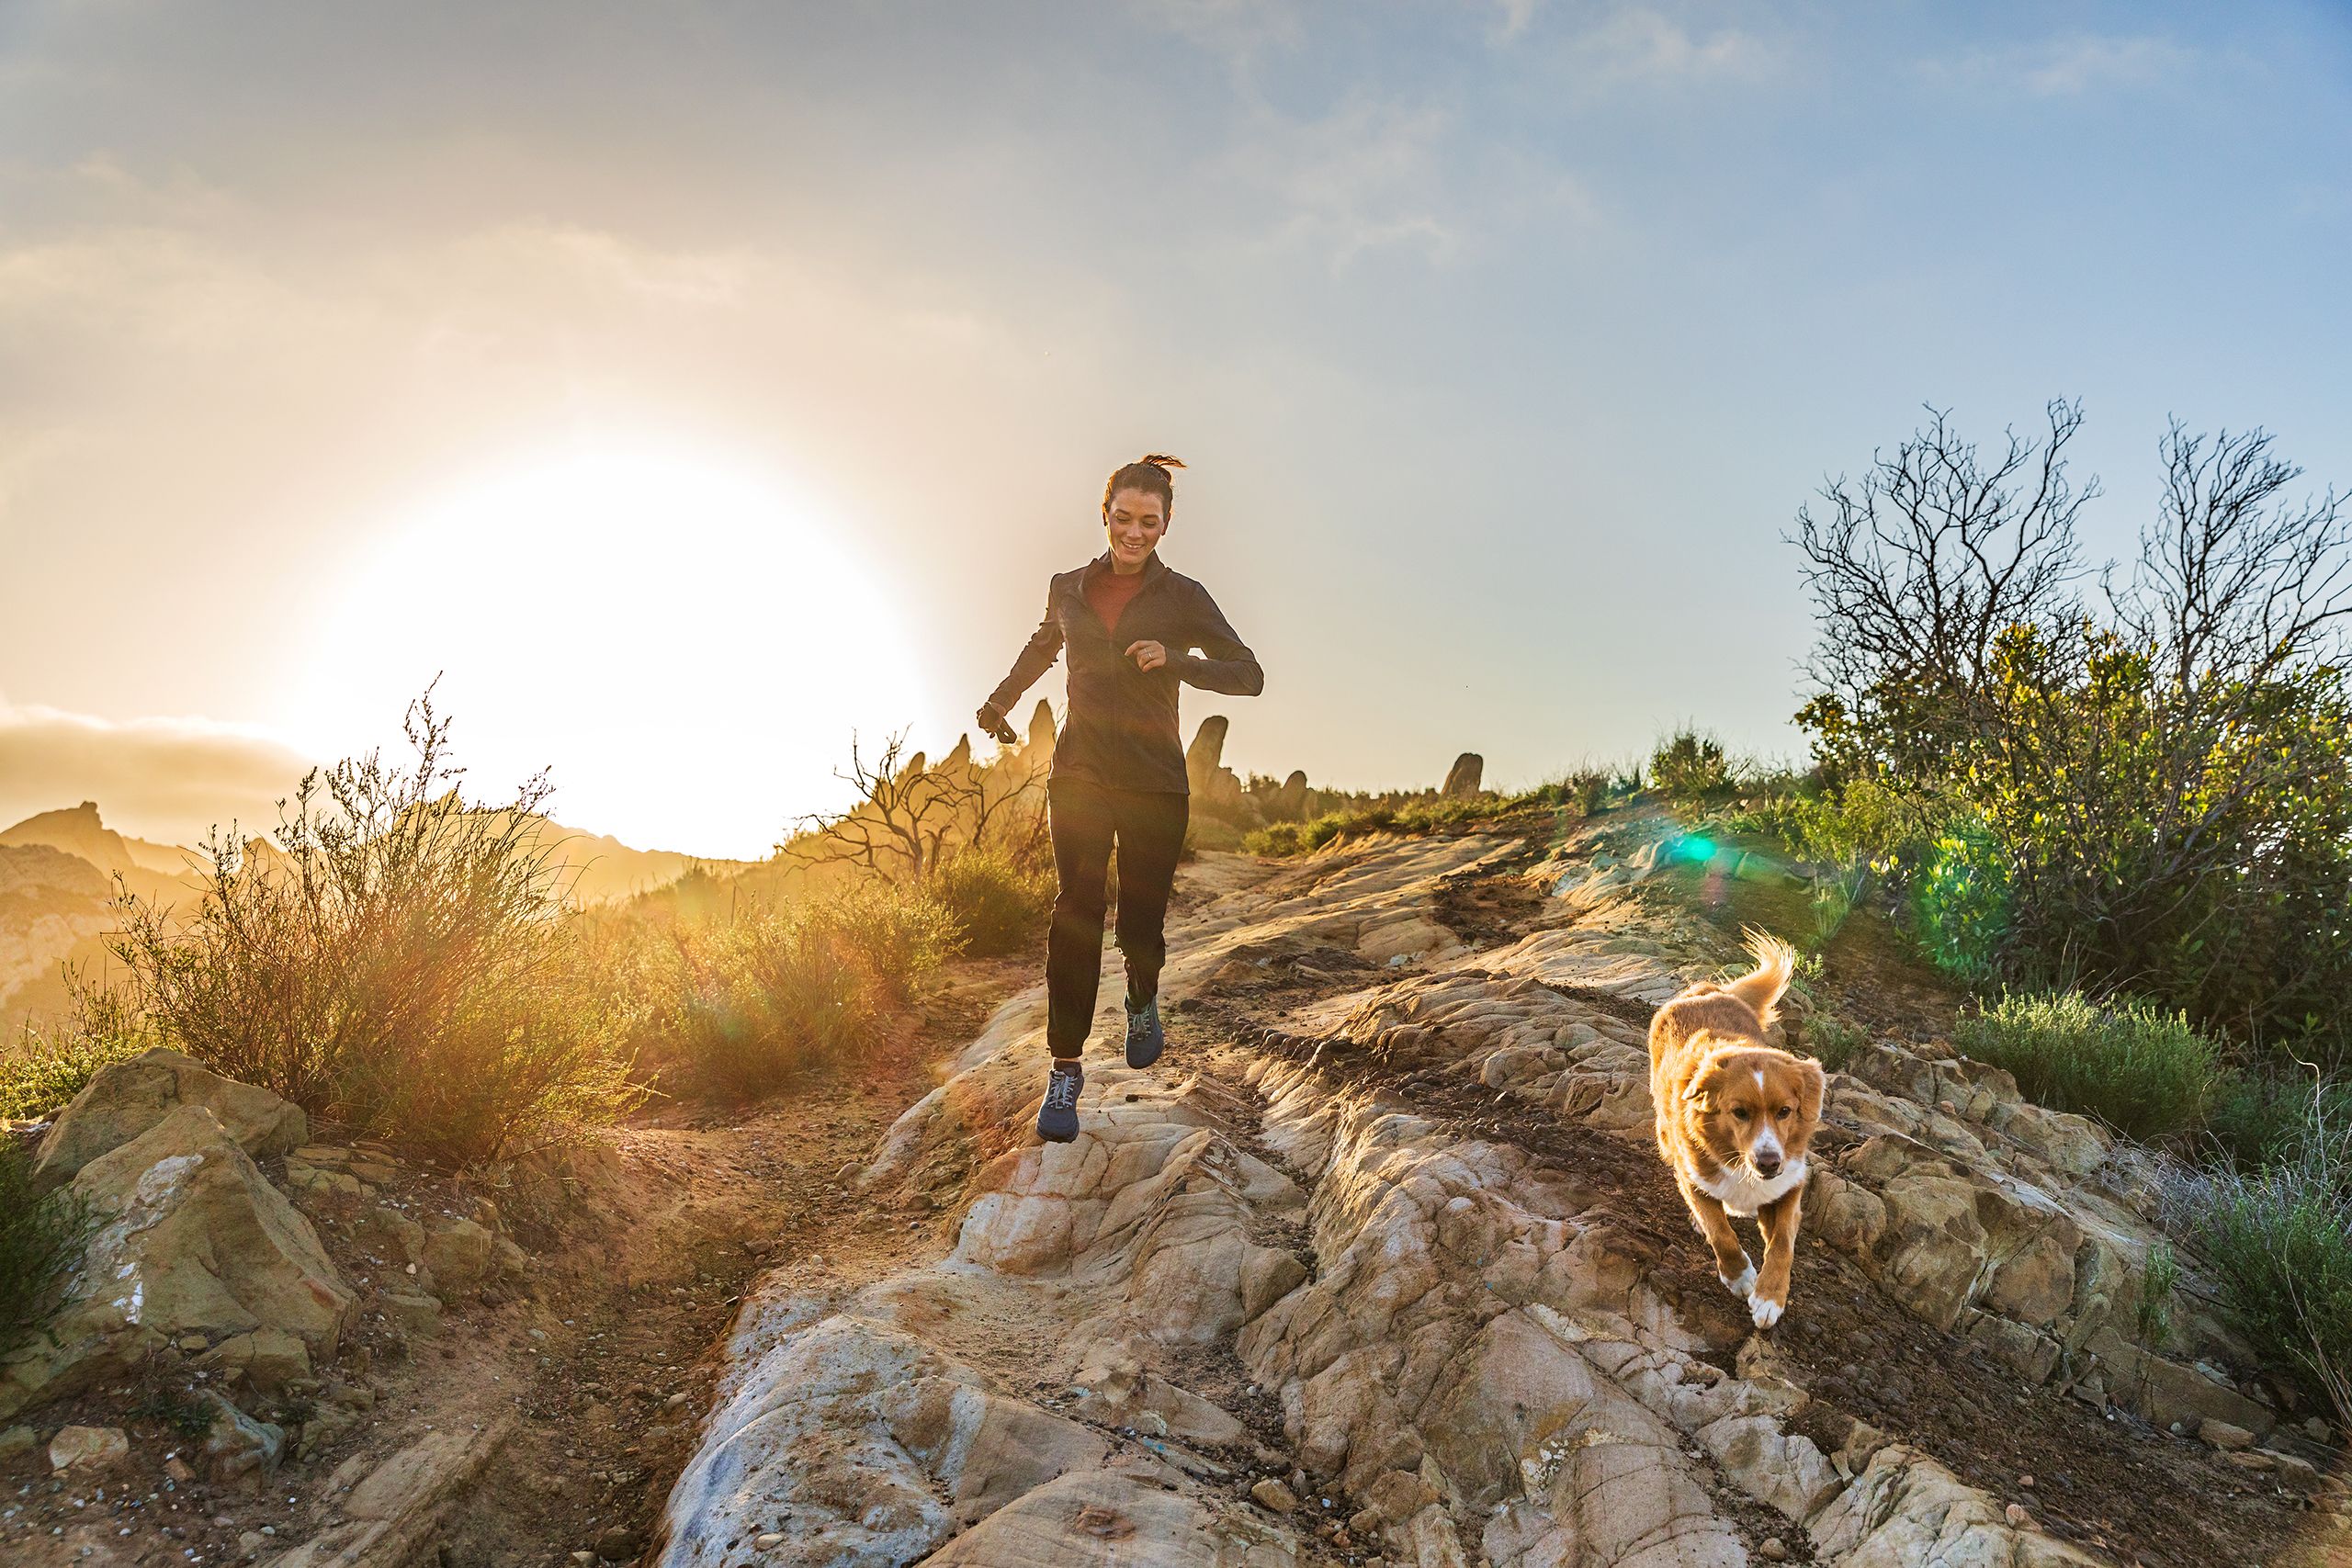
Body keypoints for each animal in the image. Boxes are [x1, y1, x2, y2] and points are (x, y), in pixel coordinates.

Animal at [1646, 926, 1825, 1335]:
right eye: (1739, 1113)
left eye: (1785, 1111)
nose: (1769, 1163)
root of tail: (1706, 989)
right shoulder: (1695, 1177)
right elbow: (1720, 1232)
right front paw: (1740, 1275)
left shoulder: (1789, 1187)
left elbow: (1782, 1244)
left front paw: (1770, 1297)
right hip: (1664, 1134)